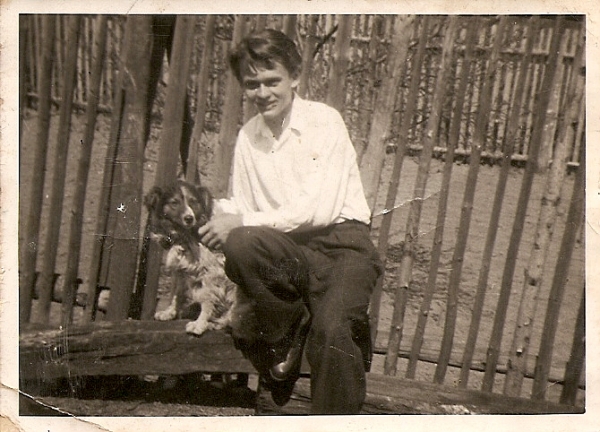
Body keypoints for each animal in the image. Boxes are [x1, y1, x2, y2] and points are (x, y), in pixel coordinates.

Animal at [144, 180, 251, 337]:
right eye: (174, 203)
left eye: (193, 202)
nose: (189, 218)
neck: (185, 235)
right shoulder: (181, 272)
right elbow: (177, 294)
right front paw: (170, 312)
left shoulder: (211, 273)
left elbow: (207, 301)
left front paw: (200, 324)